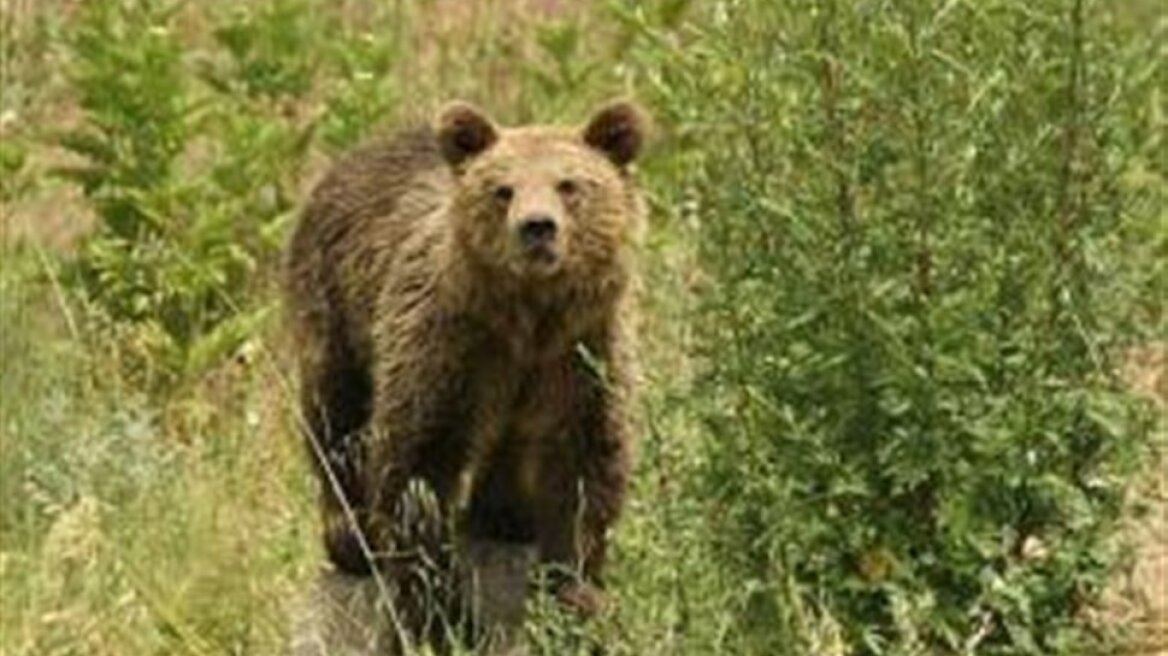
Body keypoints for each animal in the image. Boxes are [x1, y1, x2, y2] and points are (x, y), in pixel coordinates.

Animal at [282, 98, 649, 644]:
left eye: (568, 184)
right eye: (503, 189)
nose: (537, 227)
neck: (528, 320)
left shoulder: (580, 355)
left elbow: (584, 468)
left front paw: (573, 593)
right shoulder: (450, 348)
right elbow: (419, 465)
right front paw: (445, 617)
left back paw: (505, 516)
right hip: (337, 306)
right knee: (336, 411)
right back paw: (350, 534)